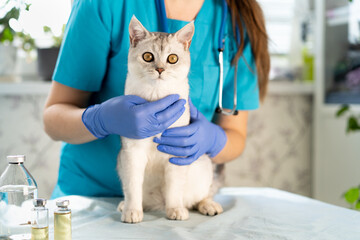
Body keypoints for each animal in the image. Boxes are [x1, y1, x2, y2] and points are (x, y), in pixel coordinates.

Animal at [116, 16, 222, 223]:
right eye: (147, 56)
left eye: (173, 58)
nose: (160, 69)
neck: (157, 97)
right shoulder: (132, 153)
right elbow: (133, 187)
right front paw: (132, 211)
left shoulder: (177, 153)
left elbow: (174, 188)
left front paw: (175, 210)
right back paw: (125, 205)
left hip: (203, 166)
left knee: (202, 195)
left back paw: (209, 205)